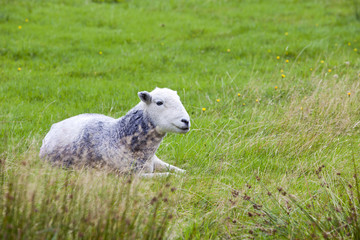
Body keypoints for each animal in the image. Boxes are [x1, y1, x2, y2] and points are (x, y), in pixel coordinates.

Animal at [39, 87, 191, 177]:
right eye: (159, 102)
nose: (186, 121)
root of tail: (55, 126)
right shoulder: (130, 175)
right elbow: (168, 175)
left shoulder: (156, 161)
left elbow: (181, 171)